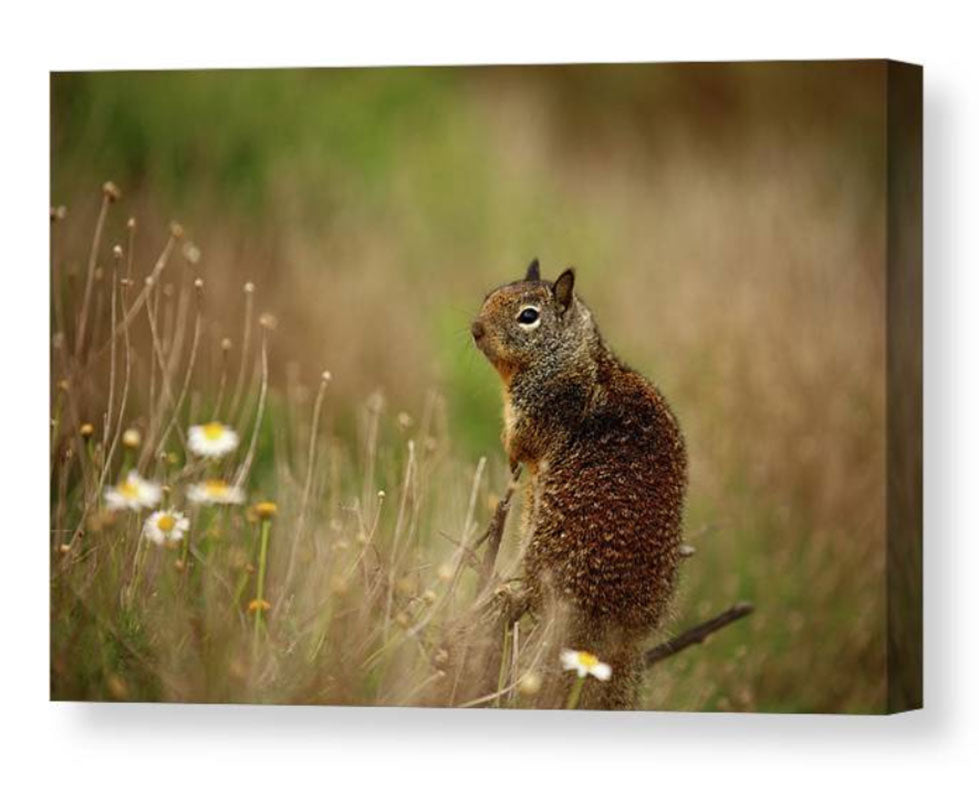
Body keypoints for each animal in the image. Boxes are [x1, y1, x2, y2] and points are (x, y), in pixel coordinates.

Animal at [471, 259, 687, 709]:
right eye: (489, 296)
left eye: (528, 316)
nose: (475, 329)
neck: (578, 358)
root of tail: (617, 631)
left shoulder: (535, 413)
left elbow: (519, 442)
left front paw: (509, 451)